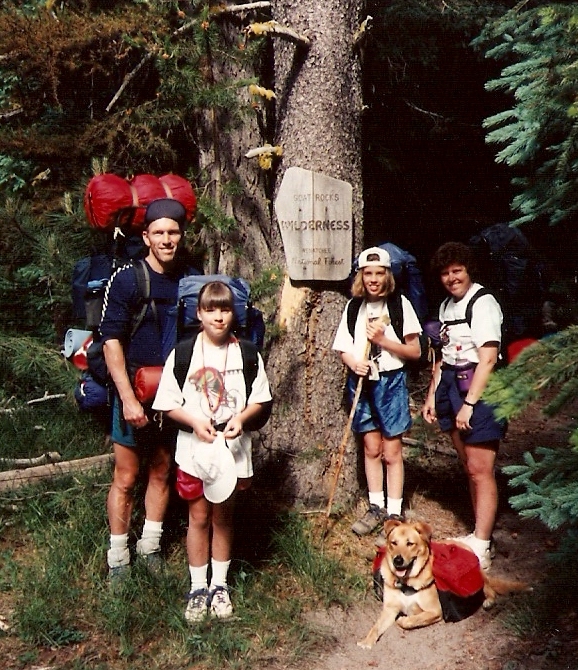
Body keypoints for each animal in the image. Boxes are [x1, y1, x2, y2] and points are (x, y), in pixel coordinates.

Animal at [356, 520, 532, 652]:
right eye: (394, 543)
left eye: (410, 544)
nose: (397, 560)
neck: (406, 583)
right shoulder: (389, 609)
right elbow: (375, 627)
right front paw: (366, 641)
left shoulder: (436, 610)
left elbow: (414, 619)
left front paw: (405, 620)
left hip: (478, 574)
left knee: (488, 586)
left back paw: (489, 600)